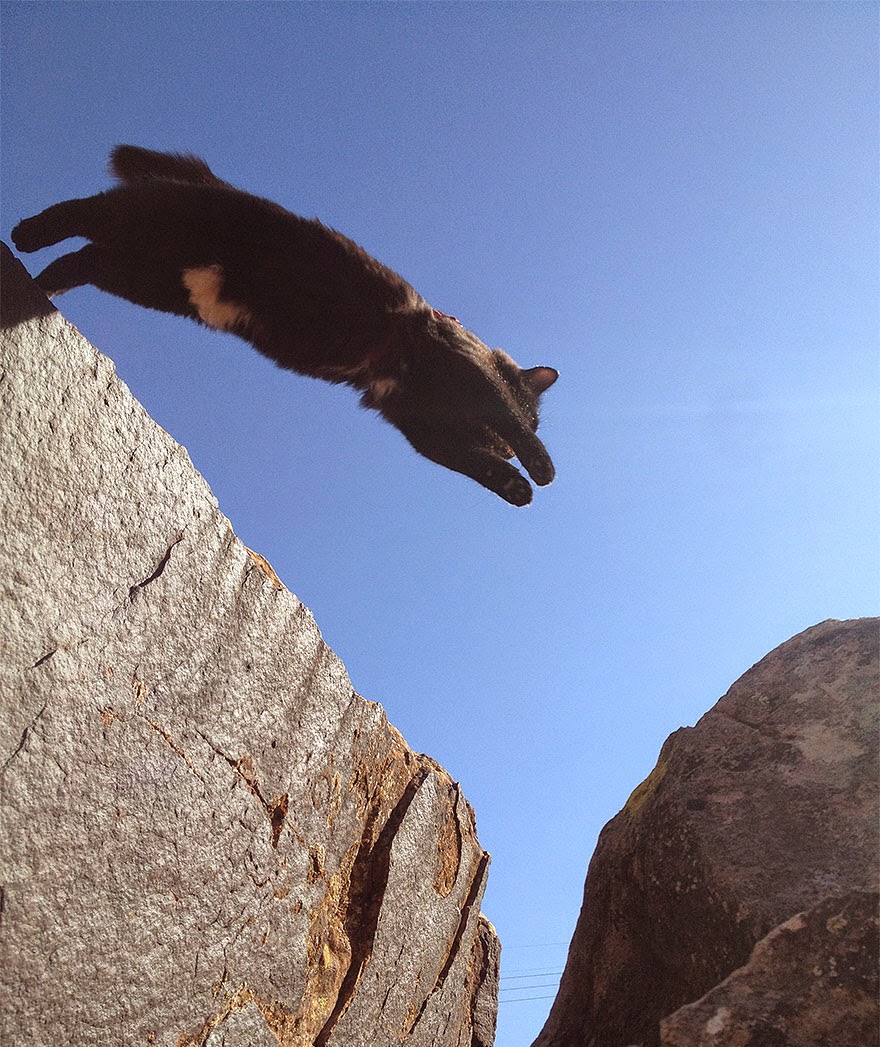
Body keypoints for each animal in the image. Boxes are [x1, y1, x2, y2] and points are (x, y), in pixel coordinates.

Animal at [13, 148, 557, 506]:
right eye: (533, 416)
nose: (509, 447)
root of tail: (222, 187)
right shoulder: (462, 371)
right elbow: (500, 410)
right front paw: (540, 468)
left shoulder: (415, 419)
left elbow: (467, 463)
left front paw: (514, 486)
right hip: (151, 222)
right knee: (87, 210)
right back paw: (27, 236)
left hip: (145, 277)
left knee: (84, 258)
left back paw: (43, 287)